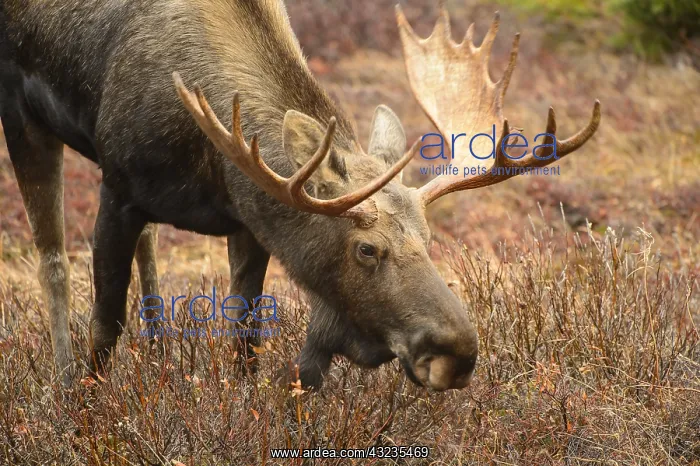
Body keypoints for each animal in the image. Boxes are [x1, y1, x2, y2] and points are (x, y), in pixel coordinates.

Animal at [0, 0, 600, 390]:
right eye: (366, 249)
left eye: (430, 238)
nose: (456, 351)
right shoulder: (118, 189)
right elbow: (103, 323)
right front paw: (88, 409)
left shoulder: (247, 218)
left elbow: (245, 333)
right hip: (24, 115)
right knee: (52, 258)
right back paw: (63, 379)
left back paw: (159, 350)